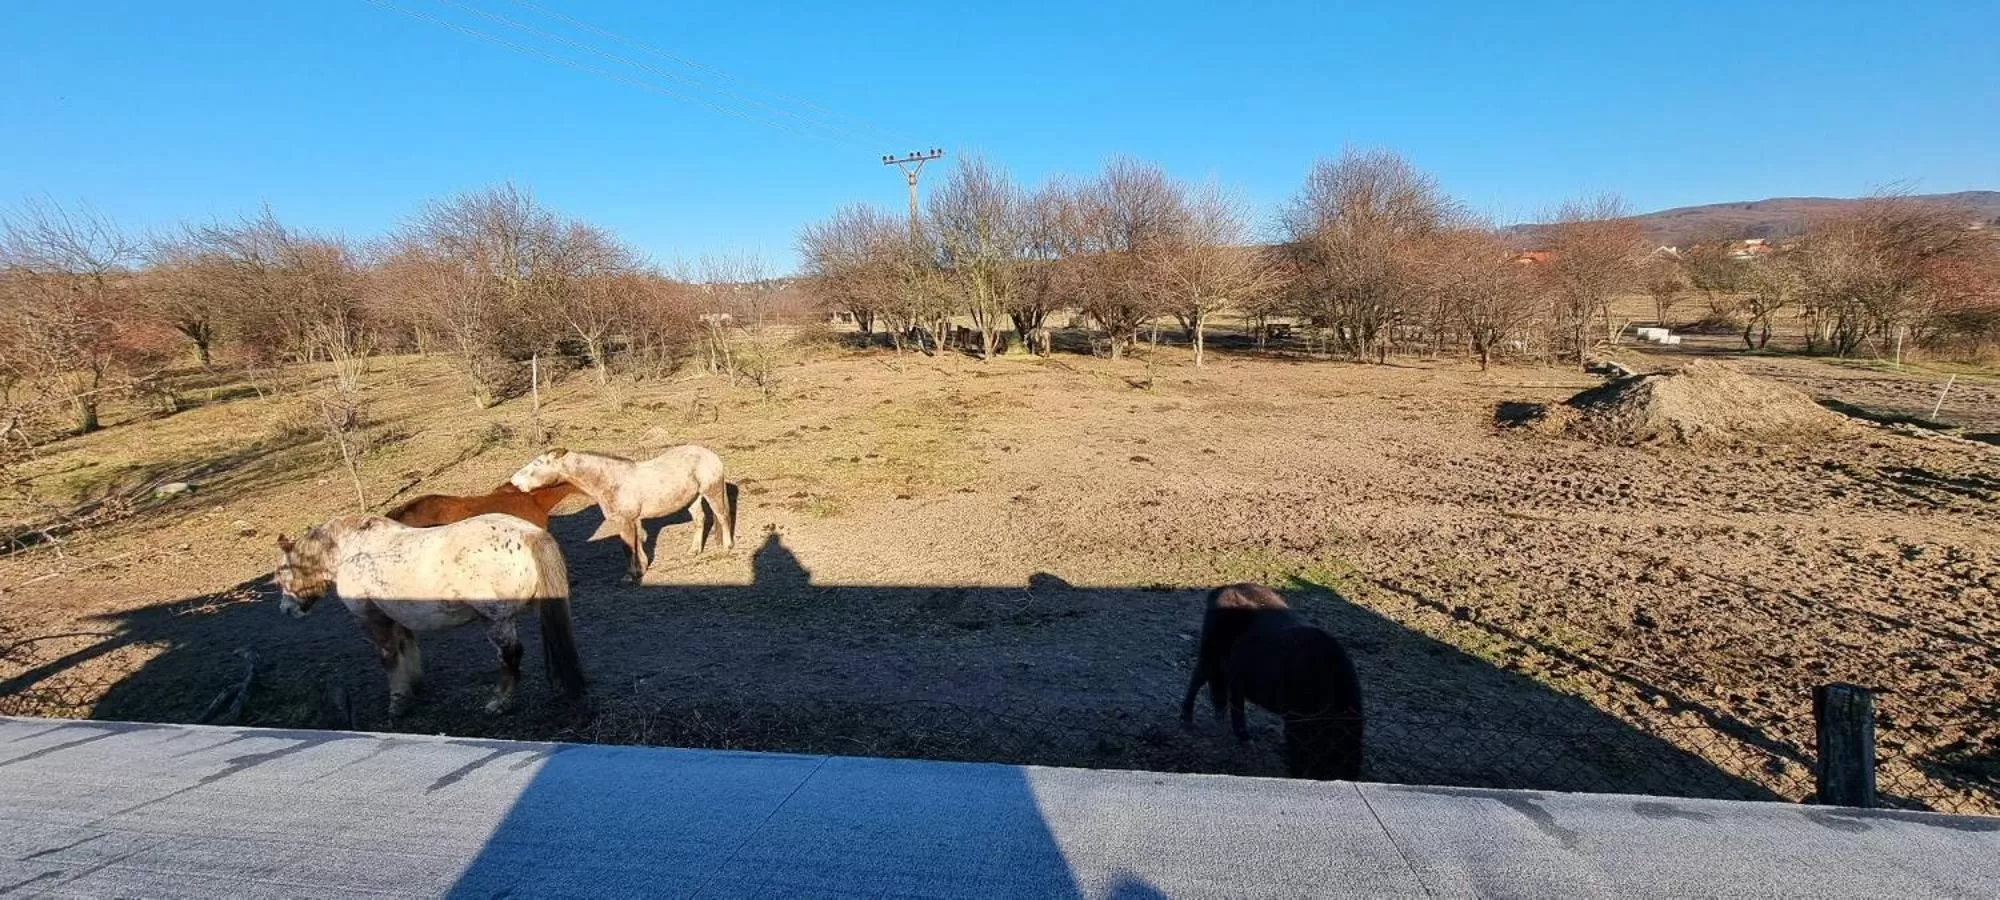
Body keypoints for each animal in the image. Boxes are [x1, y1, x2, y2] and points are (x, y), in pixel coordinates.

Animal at [274, 513, 586, 717]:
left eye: (281, 573)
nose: (286, 610)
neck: (351, 550)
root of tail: (529, 533)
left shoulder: (374, 620)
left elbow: (389, 658)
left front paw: (398, 703)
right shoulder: (398, 617)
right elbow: (407, 651)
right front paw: (414, 687)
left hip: (496, 620)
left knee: (510, 656)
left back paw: (500, 702)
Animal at [508, 445, 735, 581]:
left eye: (537, 465)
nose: (514, 482)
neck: (610, 480)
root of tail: (710, 454)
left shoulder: (625, 520)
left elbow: (627, 547)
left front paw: (631, 575)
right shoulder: (633, 520)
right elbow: (636, 544)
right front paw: (642, 568)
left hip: (712, 491)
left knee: (722, 516)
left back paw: (727, 547)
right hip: (693, 498)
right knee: (700, 521)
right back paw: (694, 550)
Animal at [1180, 583, 1364, 780]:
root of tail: (1222, 589)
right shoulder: (1295, 720)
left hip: (1231, 671)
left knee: (1230, 698)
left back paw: (1238, 732)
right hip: (1210, 656)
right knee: (1197, 681)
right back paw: (1187, 718)